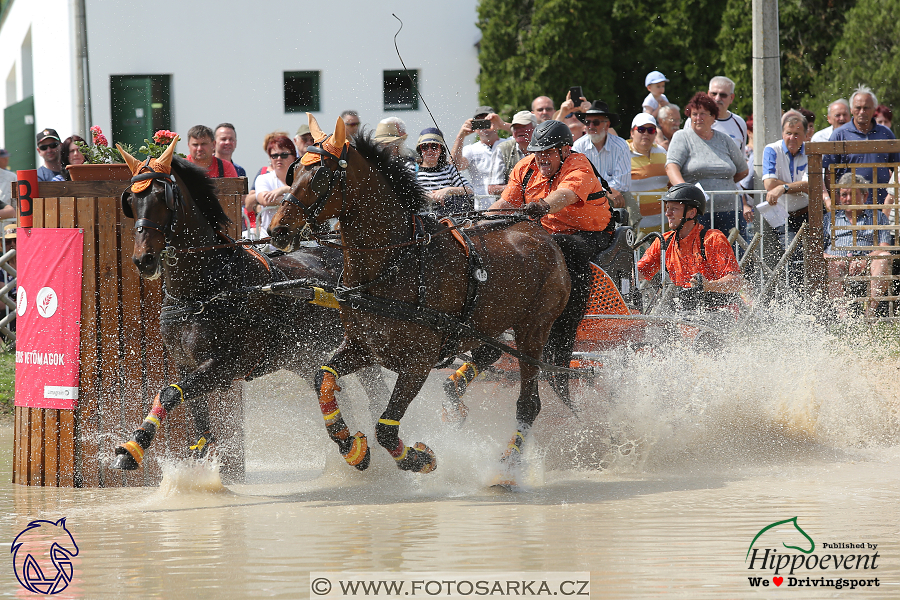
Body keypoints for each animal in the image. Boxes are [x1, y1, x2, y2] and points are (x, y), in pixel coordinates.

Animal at [108, 142, 386, 474]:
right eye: (132, 201)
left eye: (164, 197)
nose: (144, 260)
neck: (206, 290)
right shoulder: (185, 363)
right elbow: (192, 410)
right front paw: (199, 454)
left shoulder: (227, 365)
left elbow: (171, 392)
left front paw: (134, 446)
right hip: (304, 355)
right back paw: (348, 443)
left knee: (373, 389)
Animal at [268, 113, 568, 478]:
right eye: (293, 170)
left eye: (321, 175)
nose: (278, 230)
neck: (395, 264)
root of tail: (542, 233)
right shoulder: (362, 347)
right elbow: (322, 378)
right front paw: (350, 446)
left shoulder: (418, 362)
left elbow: (385, 427)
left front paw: (418, 457)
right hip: (487, 325)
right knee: (489, 353)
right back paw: (455, 397)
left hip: (533, 331)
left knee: (528, 403)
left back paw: (505, 467)